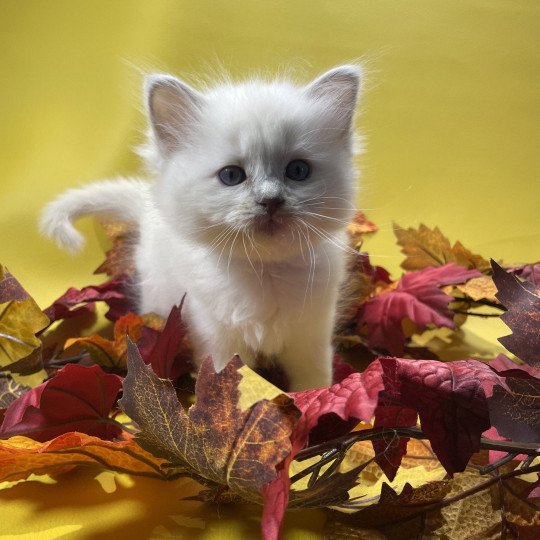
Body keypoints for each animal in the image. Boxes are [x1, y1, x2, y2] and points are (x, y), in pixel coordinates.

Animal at [41, 65, 362, 390]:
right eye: (231, 176)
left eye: (297, 171)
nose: (270, 200)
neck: (264, 272)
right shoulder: (217, 337)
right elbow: (225, 382)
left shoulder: (312, 334)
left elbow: (314, 380)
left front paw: (315, 400)